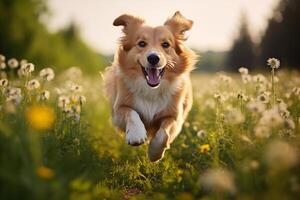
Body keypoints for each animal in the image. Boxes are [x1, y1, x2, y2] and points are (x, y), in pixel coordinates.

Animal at [103, 10, 197, 162]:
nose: (153, 57)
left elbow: (163, 134)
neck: (150, 89)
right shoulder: (118, 110)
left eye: (166, 44)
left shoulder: (174, 117)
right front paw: (136, 134)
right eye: (141, 43)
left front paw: (154, 153)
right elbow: (131, 112)